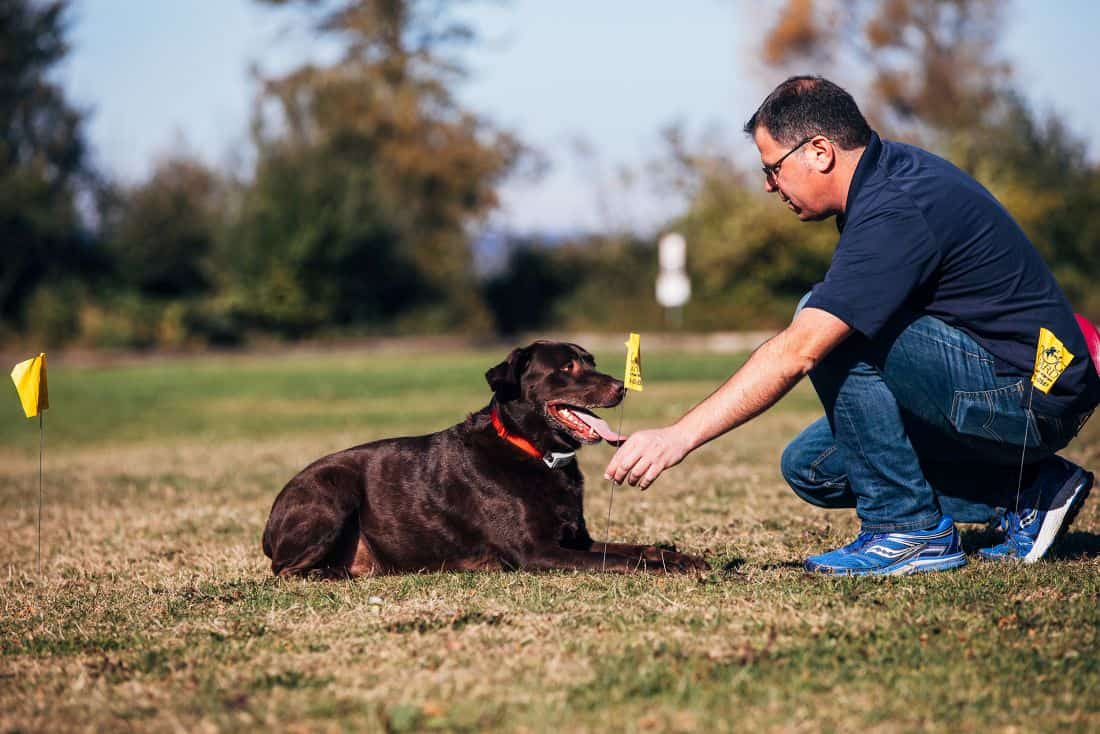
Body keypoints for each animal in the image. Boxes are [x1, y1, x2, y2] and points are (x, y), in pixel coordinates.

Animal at [259, 341, 704, 576]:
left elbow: (636, 549)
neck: (532, 450)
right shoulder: (537, 553)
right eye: (566, 367)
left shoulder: (577, 539)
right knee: (284, 571)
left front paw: (683, 557)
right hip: (334, 489)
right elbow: (615, 560)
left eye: (591, 361)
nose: (621, 387)